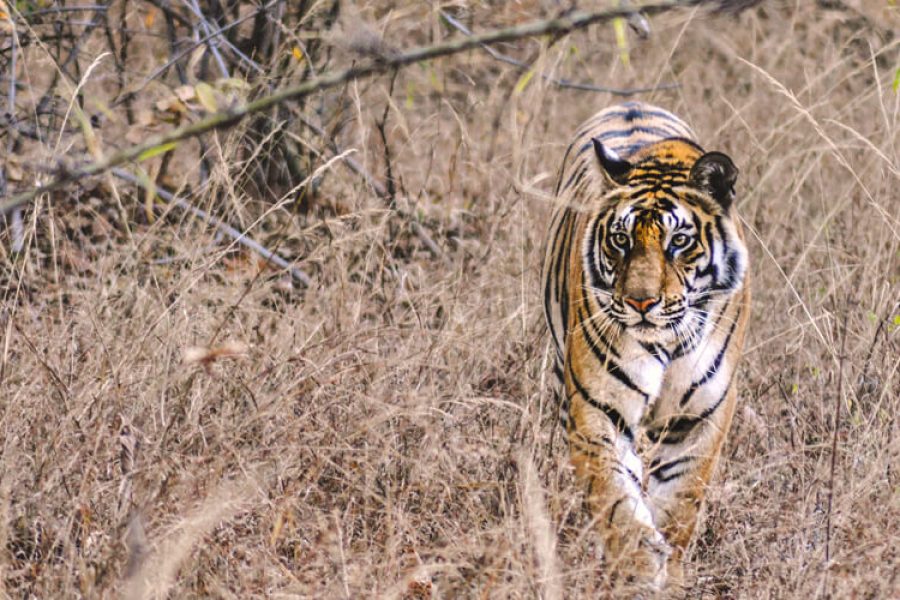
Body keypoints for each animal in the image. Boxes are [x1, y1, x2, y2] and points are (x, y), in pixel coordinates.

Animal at [540, 102, 751, 591]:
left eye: (680, 241)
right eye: (621, 239)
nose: (640, 302)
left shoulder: (700, 418)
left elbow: (679, 504)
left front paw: (668, 571)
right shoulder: (597, 411)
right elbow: (616, 503)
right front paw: (638, 568)